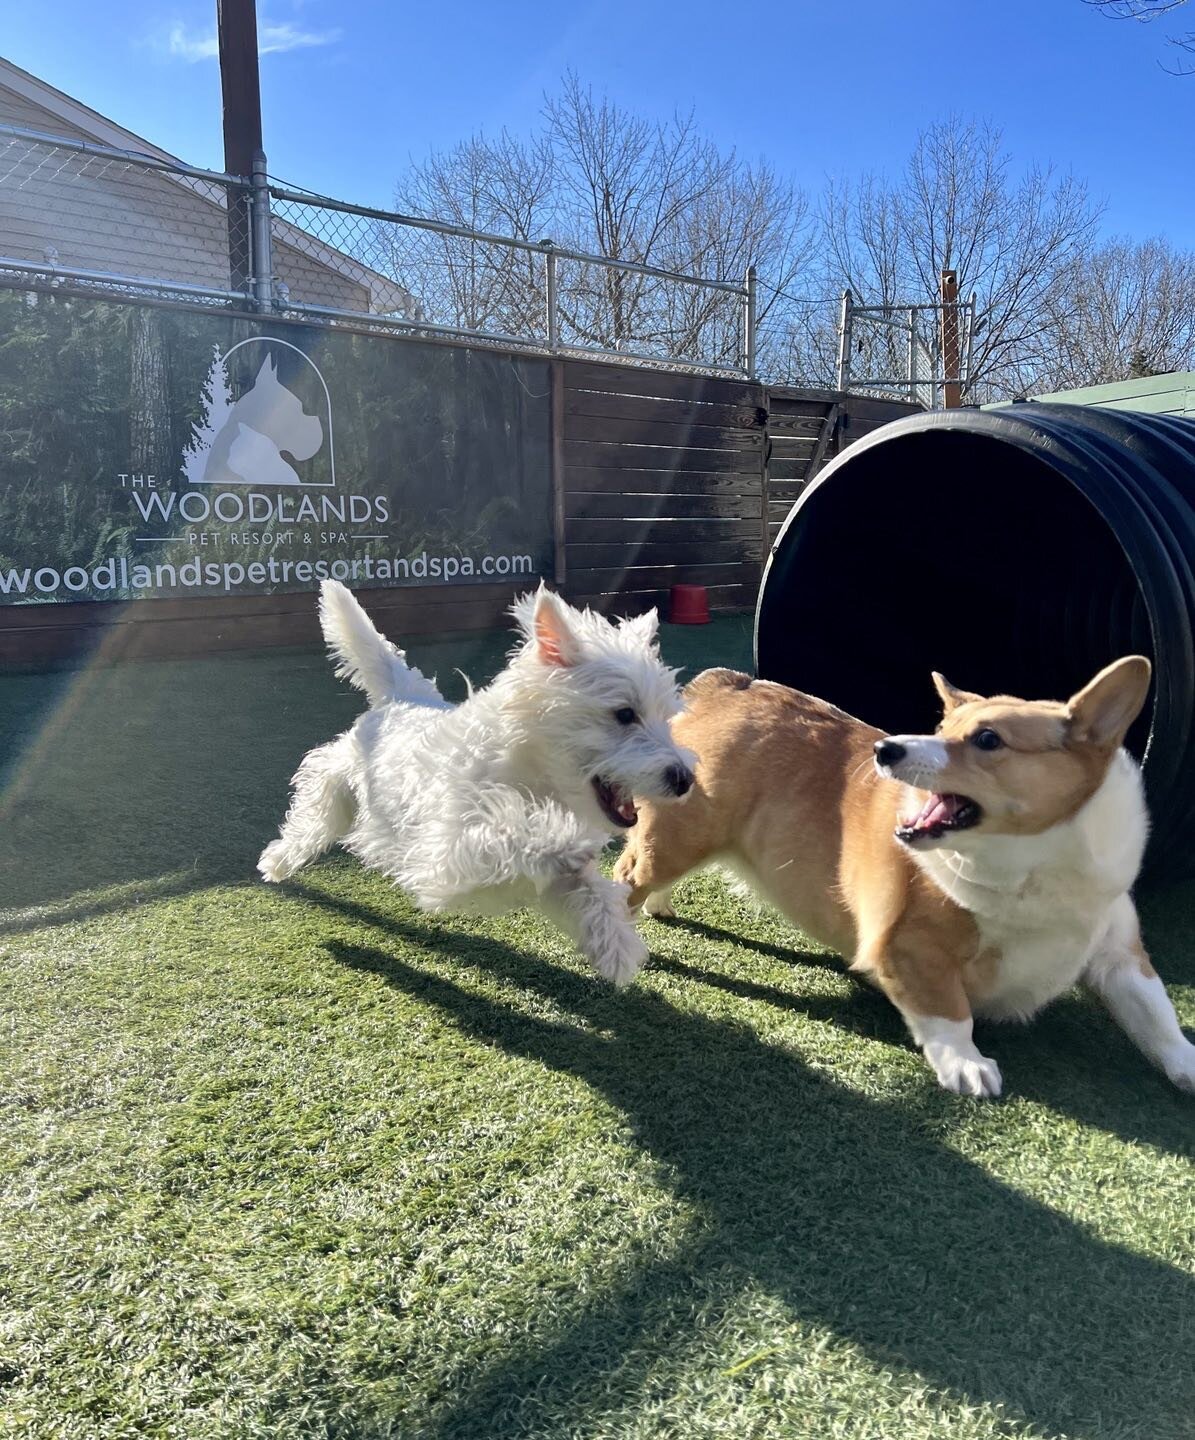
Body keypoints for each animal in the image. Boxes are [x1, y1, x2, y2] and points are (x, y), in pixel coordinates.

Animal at [257, 578, 696, 984]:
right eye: (624, 714)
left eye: (666, 717)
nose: (685, 779)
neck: (531, 778)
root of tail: (401, 697)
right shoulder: (445, 852)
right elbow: (512, 832)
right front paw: (555, 838)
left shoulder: (551, 880)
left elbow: (590, 893)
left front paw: (617, 949)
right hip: (339, 784)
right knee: (315, 809)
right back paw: (277, 861)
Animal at [616, 659, 1195, 1094]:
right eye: (940, 730)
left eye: (988, 740)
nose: (886, 749)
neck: (1035, 862)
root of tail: (726, 684)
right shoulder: (911, 948)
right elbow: (950, 1012)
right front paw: (967, 1065)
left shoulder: (1121, 956)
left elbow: (1157, 1015)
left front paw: (1186, 1065)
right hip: (674, 843)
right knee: (626, 873)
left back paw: (661, 905)